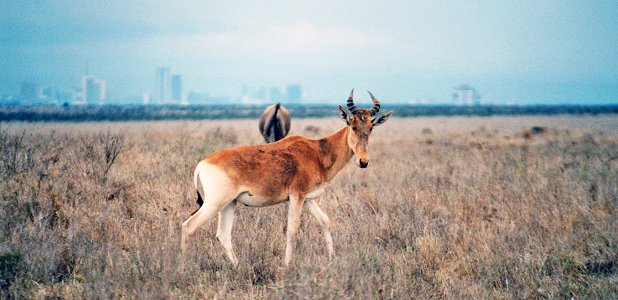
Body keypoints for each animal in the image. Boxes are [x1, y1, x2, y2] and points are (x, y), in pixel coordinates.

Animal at [180, 89, 390, 268]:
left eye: (371, 127)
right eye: (353, 126)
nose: (363, 161)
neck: (316, 151)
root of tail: (203, 164)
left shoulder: (307, 198)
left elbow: (325, 221)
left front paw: (333, 258)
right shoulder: (296, 196)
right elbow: (292, 230)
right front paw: (287, 265)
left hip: (229, 203)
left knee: (223, 235)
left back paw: (238, 266)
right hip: (215, 203)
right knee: (188, 226)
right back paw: (183, 268)